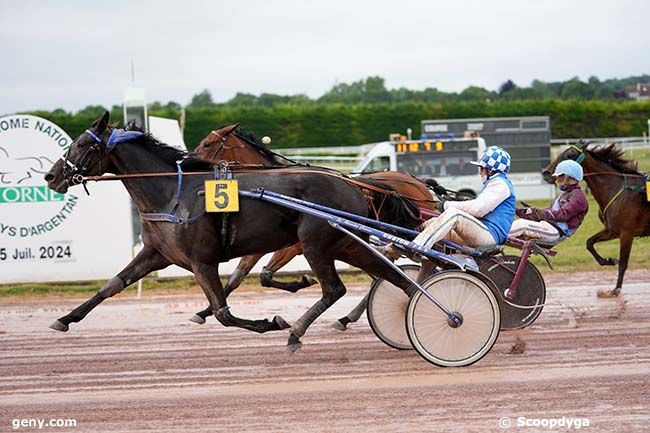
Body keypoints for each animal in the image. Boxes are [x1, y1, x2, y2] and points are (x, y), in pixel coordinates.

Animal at [187, 123, 436, 326]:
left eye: (207, 143)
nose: (190, 161)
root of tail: (419, 183)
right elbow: (240, 277)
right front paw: (204, 311)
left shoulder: (292, 245)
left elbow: (264, 275)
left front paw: (304, 281)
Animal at [540, 142, 648, 296]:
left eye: (570, 154)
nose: (546, 173)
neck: (618, 189)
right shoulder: (612, 230)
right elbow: (589, 243)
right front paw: (609, 260)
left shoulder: (627, 233)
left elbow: (623, 263)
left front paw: (616, 289)